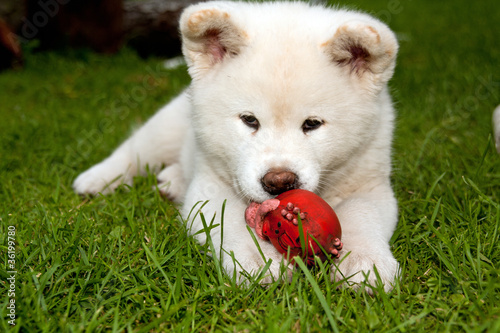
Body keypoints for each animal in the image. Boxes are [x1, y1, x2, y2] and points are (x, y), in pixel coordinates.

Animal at [74, 0, 400, 290]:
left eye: (312, 124)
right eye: (249, 120)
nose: (279, 182)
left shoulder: (370, 183)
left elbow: (362, 213)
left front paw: (365, 262)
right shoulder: (210, 186)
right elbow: (230, 219)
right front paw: (258, 259)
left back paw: (172, 181)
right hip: (167, 126)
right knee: (134, 150)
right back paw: (96, 179)